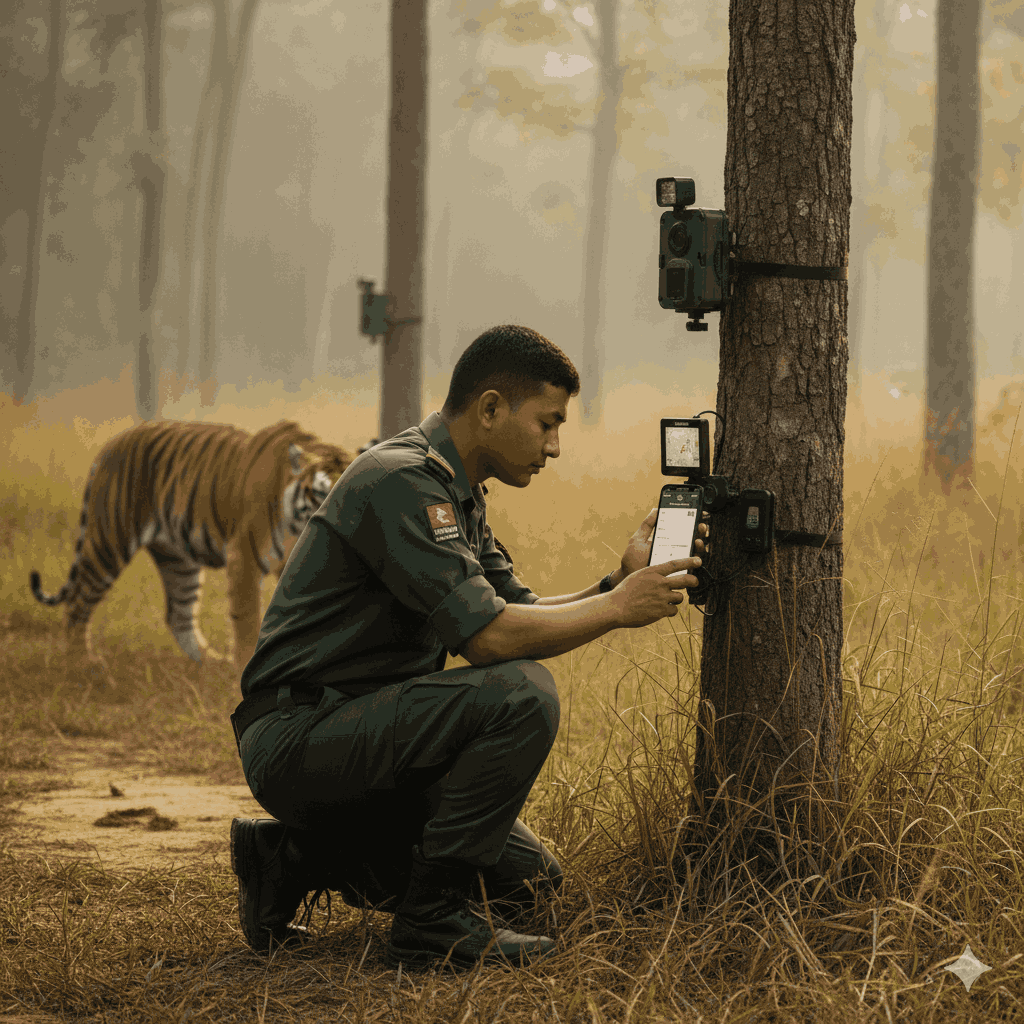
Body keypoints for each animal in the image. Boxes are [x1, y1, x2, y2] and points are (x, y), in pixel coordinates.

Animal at [29, 419, 352, 671]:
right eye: (322, 493)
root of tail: (111, 443)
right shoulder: (244, 558)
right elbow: (247, 622)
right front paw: (245, 670)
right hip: (108, 544)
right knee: (77, 602)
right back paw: (83, 662)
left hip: (178, 561)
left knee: (178, 615)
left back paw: (212, 664)